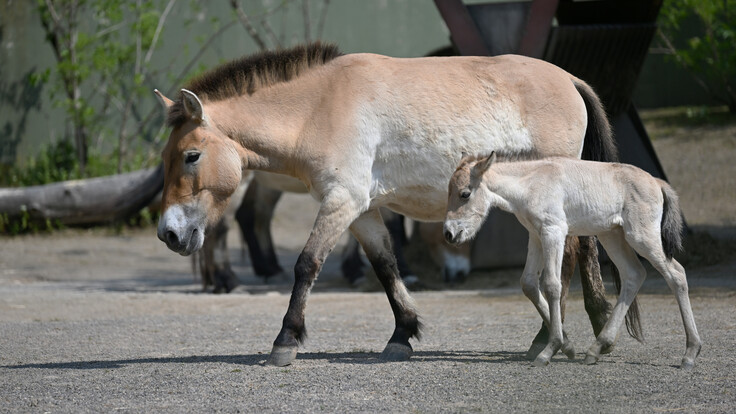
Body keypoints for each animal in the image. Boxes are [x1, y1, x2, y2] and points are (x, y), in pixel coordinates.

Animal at [155, 43, 617, 366]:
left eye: (191, 156)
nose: (169, 233)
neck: (318, 109)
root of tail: (570, 80)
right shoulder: (361, 211)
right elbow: (385, 265)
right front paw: (402, 336)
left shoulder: (341, 201)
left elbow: (307, 264)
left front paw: (285, 342)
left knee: (569, 256)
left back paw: (550, 339)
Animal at [444, 153, 702, 369]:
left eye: (465, 193)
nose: (449, 234)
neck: (531, 182)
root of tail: (656, 182)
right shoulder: (535, 236)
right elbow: (529, 284)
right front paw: (567, 346)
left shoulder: (554, 232)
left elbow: (552, 285)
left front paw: (550, 350)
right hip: (612, 236)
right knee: (634, 275)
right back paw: (597, 348)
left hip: (641, 237)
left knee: (676, 274)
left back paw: (690, 353)